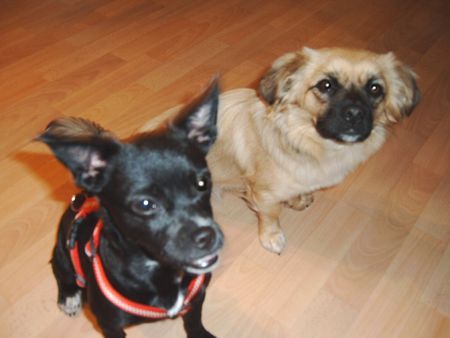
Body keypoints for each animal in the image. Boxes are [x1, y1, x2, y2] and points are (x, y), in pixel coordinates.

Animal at [37, 80, 224, 338]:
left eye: (203, 183)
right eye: (144, 204)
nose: (207, 236)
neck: (159, 269)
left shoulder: (196, 298)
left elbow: (194, 321)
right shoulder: (109, 324)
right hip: (64, 252)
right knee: (59, 268)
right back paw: (69, 296)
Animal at [206, 46, 420, 254]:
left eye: (375, 89)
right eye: (325, 85)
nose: (354, 113)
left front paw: (296, 200)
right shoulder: (264, 194)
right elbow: (271, 215)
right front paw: (272, 237)